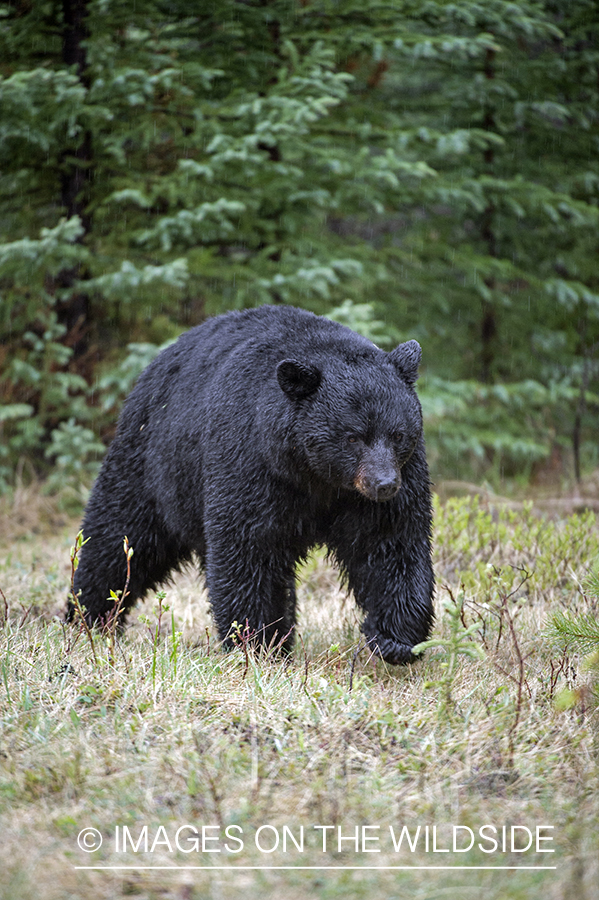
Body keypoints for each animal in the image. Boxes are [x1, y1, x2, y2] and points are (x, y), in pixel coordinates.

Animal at [69, 305, 434, 664]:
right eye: (353, 437)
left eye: (398, 434)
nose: (384, 484)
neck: (316, 477)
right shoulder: (251, 464)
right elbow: (249, 550)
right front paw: (256, 644)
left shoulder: (387, 483)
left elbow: (390, 543)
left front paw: (395, 638)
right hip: (151, 463)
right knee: (119, 536)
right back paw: (88, 619)